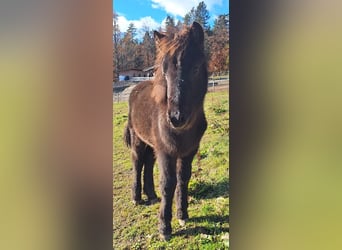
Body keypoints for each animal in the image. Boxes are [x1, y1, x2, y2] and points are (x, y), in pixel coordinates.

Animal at [124, 22, 207, 240]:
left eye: (196, 68)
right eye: (164, 70)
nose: (176, 118)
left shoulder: (188, 151)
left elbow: (183, 178)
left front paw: (182, 215)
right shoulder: (166, 151)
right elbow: (168, 183)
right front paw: (164, 228)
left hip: (152, 145)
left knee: (147, 164)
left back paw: (151, 195)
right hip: (138, 140)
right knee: (137, 163)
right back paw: (137, 197)